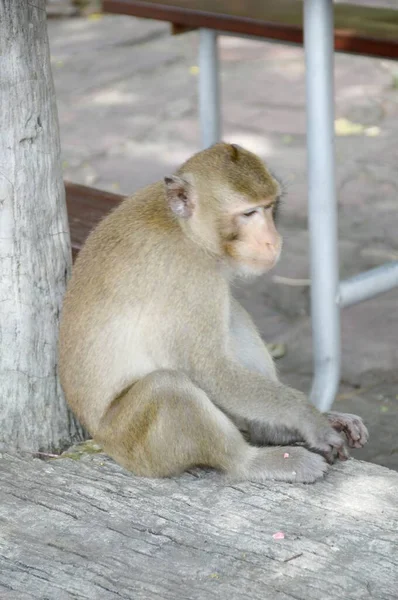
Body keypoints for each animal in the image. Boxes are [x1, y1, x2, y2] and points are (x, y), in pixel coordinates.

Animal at [57, 143, 368, 486]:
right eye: (248, 213)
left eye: (270, 207)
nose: (272, 240)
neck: (184, 229)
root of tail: (99, 439)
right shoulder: (189, 275)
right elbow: (209, 370)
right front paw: (309, 418)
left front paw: (318, 418)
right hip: (134, 445)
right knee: (168, 388)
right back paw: (255, 462)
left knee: (232, 313)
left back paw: (270, 431)